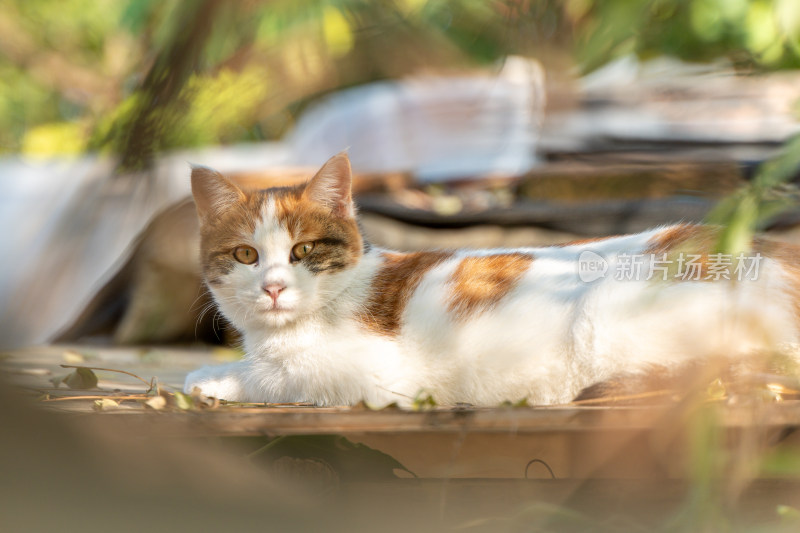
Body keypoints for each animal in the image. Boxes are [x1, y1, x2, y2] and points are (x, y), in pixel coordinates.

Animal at [184, 152, 800, 406]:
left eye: (304, 251)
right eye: (245, 255)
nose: (273, 287)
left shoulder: (377, 376)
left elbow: (284, 378)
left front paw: (217, 379)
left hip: (607, 315)